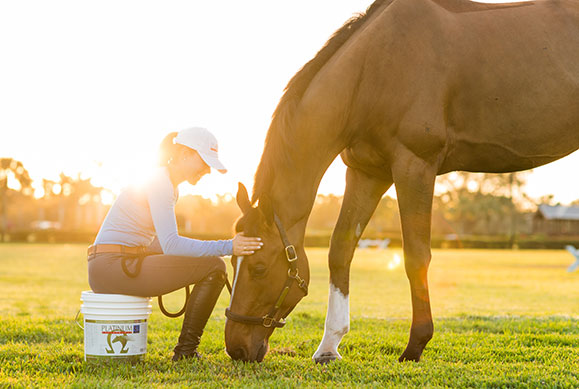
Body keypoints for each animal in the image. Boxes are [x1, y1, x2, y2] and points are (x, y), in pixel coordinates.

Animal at [224, 0, 576, 364]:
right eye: (232, 261)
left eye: (259, 268)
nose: (236, 347)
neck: (373, 68)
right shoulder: (367, 173)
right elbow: (340, 250)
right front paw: (329, 346)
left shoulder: (414, 166)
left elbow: (415, 256)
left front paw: (416, 345)